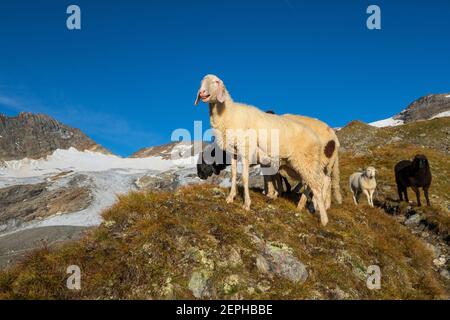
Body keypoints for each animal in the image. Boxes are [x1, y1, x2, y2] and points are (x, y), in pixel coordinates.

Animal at [193, 74, 330, 226]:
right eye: (201, 82)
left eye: (215, 82)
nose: (202, 93)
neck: (229, 113)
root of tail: (316, 138)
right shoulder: (233, 151)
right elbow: (234, 175)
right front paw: (230, 197)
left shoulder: (246, 149)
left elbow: (245, 177)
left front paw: (247, 204)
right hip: (299, 163)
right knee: (318, 181)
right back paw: (310, 207)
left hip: (306, 160)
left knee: (318, 185)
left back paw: (323, 219)